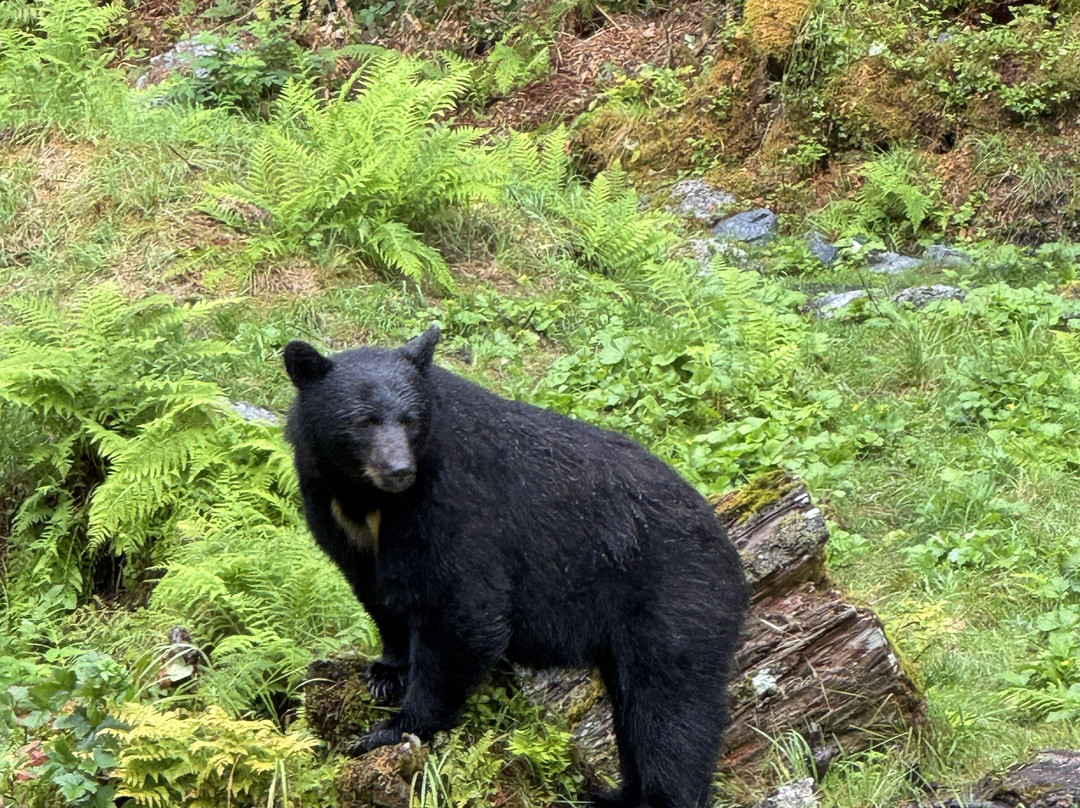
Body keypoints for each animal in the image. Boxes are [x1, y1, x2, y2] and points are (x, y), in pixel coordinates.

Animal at [283, 326, 748, 808]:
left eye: (409, 419)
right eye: (364, 420)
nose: (398, 469)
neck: (370, 500)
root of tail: (724, 542)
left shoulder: (454, 500)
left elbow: (462, 609)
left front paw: (393, 727)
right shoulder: (336, 518)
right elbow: (377, 595)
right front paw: (385, 671)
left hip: (675, 598)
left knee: (670, 711)